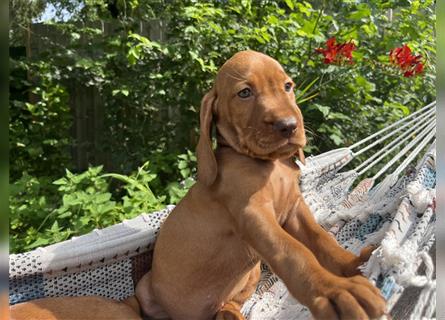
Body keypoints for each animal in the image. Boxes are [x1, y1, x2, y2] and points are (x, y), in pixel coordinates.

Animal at [136, 50, 386, 320]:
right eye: (245, 93)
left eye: (287, 86)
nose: (289, 125)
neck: (269, 165)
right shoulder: (253, 215)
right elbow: (293, 252)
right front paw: (335, 291)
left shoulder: (294, 210)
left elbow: (323, 240)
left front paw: (353, 265)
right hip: (144, 291)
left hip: (251, 274)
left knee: (229, 303)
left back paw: (230, 314)